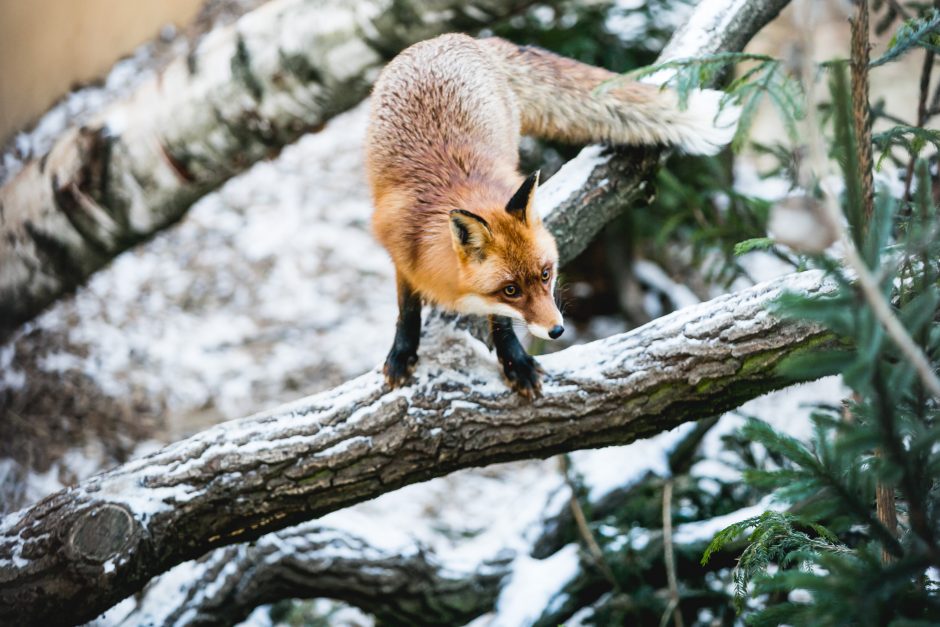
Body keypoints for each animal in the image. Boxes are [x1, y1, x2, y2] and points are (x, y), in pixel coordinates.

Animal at [370, 33, 740, 398]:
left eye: (546, 274)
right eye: (511, 290)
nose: (557, 330)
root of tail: (463, 38)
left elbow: (501, 323)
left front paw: (515, 362)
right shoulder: (402, 256)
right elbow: (408, 310)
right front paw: (402, 354)